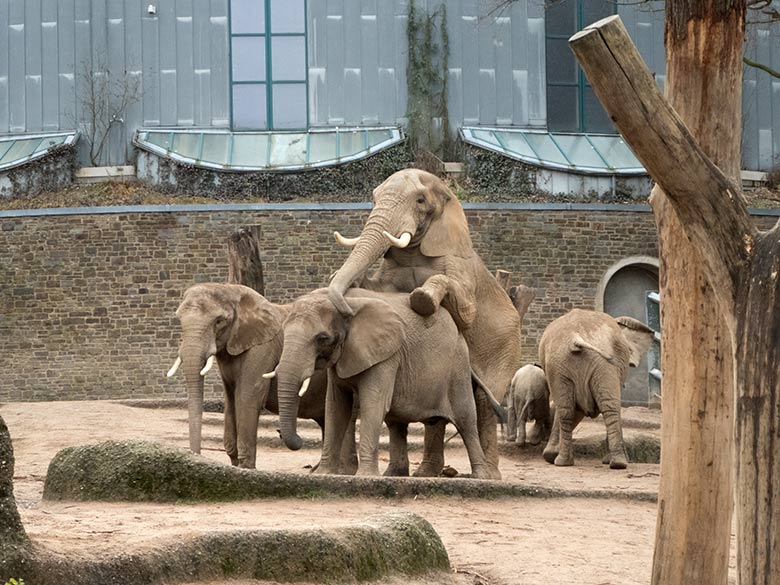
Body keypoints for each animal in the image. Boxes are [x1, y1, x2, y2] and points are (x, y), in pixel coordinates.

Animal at [169, 282, 358, 470]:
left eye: (219, 321)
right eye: (179, 319)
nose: (195, 457)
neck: (231, 289)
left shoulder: (262, 349)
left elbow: (246, 399)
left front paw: (246, 469)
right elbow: (230, 402)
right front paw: (235, 466)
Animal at [266, 286, 496, 476]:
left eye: (322, 338)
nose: (294, 439)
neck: (347, 303)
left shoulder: (386, 355)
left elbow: (373, 403)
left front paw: (364, 477)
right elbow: (335, 407)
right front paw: (324, 474)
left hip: (457, 367)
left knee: (466, 420)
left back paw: (481, 477)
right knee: (396, 423)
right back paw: (394, 475)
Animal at [540, 310, 656, 470]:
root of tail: (576, 338)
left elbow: (575, 408)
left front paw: (550, 455)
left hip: (563, 363)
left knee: (568, 410)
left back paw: (564, 462)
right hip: (590, 364)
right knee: (607, 407)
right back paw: (617, 463)